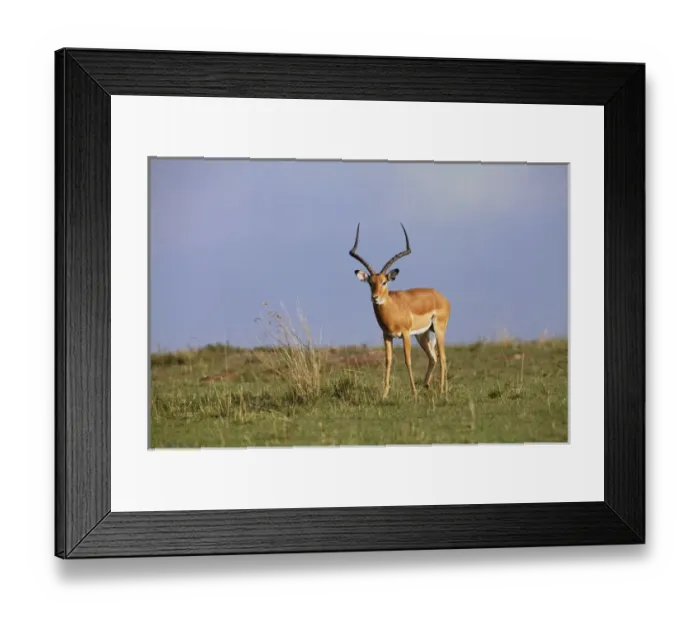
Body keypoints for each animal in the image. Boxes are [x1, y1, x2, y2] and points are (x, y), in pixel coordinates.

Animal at [349, 223, 451, 399]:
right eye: (370, 282)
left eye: (384, 282)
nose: (375, 297)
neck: (393, 308)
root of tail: (441, 296)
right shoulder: (387, 335)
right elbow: (388, 361)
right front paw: (384, 394)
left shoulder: (405, 334)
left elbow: (407, 360)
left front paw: (414, 393)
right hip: (422, 334)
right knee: (433, 357)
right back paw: (426, 385)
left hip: (438, 329)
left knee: (443, 357)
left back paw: (441, 391)